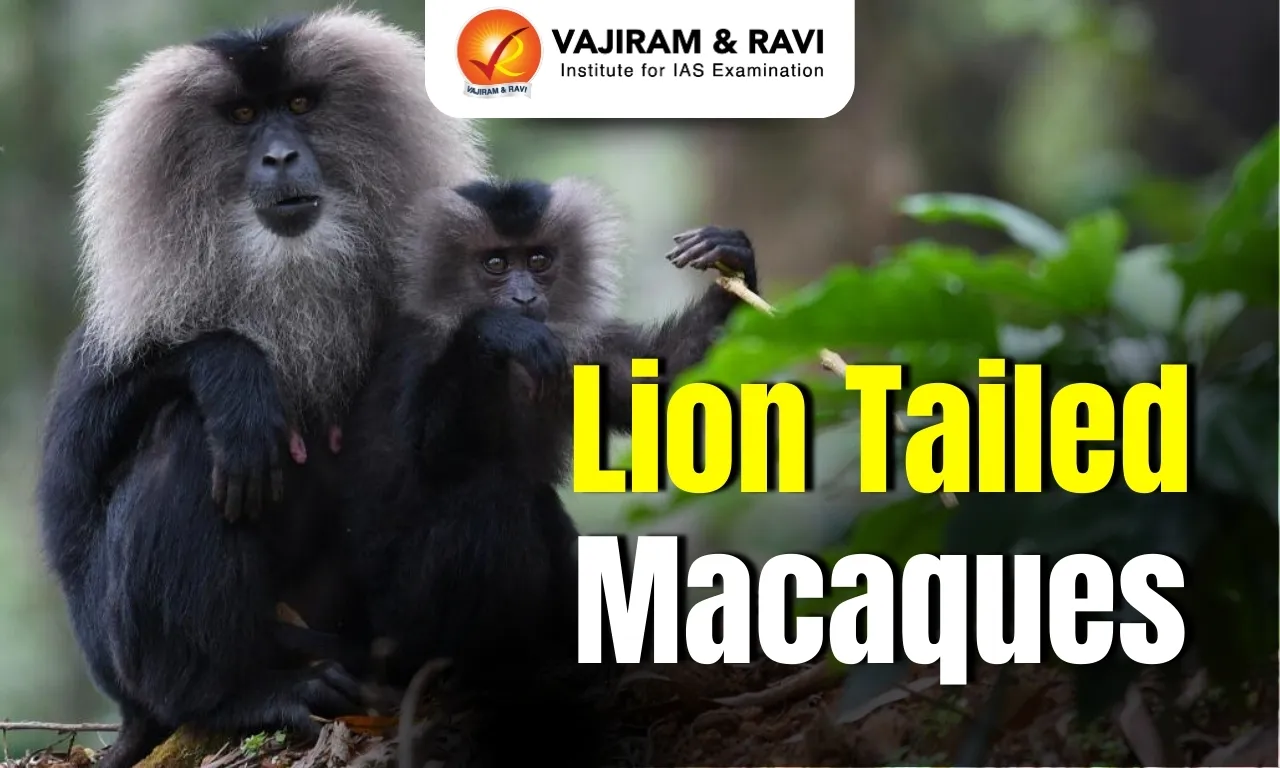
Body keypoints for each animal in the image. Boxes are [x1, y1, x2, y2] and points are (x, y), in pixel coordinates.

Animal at [35, 10, 485, 768]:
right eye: (244, 117)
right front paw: (234, 372)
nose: (279, 158)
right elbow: (70, 493)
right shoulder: (116, 333)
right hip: (131, 659)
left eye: (300, 106)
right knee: (192, 433)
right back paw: (235, 697)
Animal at [336, 177, 757, 767]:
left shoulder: (579, 351)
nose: (522, 299)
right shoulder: (417, 346)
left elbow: (666, 386)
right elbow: (429, 454)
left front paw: (731, 261)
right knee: (491, 498)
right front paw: (497, 331)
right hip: (403, 627)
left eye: (538, 261)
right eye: (494, 264)